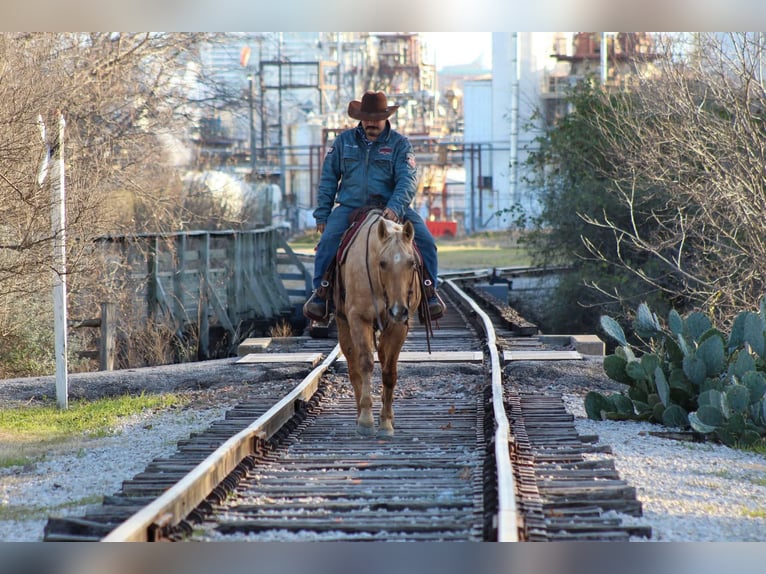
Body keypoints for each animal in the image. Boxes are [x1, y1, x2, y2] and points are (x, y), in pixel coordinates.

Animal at [333, 209, 423, 437]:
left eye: (411, 263)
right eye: (382, 263)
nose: (398, 310)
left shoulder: (399, 326)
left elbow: (389, 371)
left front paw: (386, 422)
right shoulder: (359, 319)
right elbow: (365, 363)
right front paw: (366, 420)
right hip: (343, 323)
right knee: (354, 366)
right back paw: (359, 414)